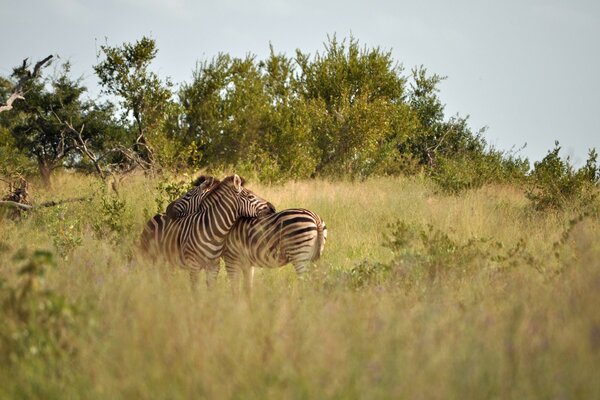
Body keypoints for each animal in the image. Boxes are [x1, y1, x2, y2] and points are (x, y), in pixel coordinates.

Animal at [138, 173, 274, 290]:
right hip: (149, 256)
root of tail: (155, 216)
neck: (215, 233)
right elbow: (196, 292)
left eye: (188, 195)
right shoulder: (195, 266)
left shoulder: (214, 267)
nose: (273, 208)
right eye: (250, 196)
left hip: (165, 260)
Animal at [164, 177, 328, 296]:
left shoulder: (231, 259)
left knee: (305, 284)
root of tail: (316, 218)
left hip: (299, 257)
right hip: (313, 258)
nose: (167, 209)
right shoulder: (247, 263)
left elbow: (235, 287)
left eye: (187, 194)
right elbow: (247, 288)